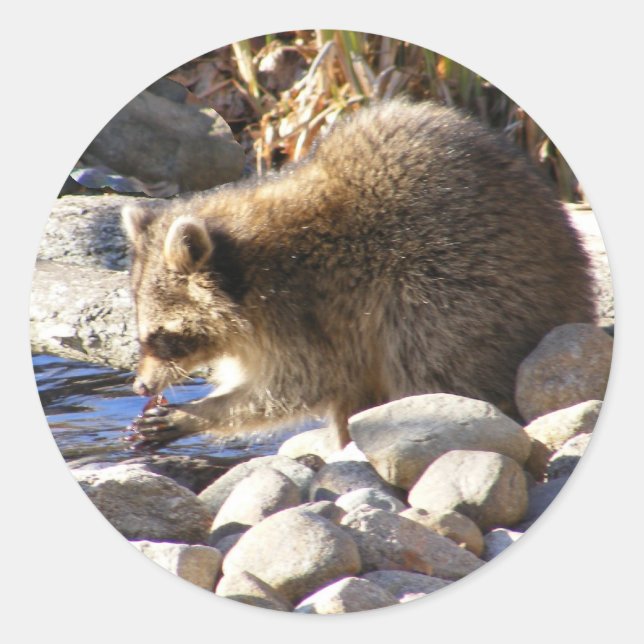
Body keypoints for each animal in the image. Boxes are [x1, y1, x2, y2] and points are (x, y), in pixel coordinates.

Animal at [122, 100, 595, 446]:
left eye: (162, 337)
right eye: (143, 335)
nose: (140, 387)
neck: (245, 267)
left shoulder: (302, 310)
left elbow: (297, 386)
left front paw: (201, 411)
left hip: (459, 287)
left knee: (430, 360)